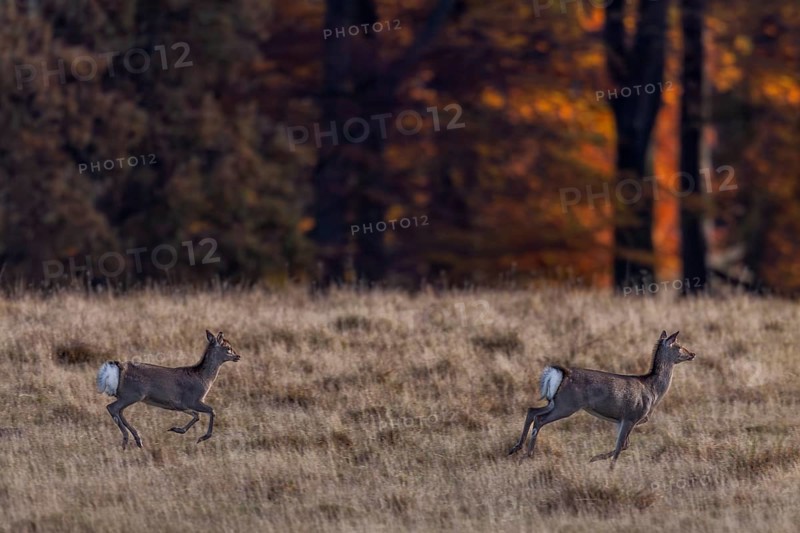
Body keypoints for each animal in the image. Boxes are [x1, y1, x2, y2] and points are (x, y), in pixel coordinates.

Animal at [96, 330, 241, 449]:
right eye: (227, 348)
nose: (238, 356)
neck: (203, 378)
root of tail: (119, 367)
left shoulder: (181, 405)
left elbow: (197, 416)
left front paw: (176, 429)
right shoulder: (192, 400)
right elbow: (212, 410)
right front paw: (202, 438)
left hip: (127, 396)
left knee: (120, 411)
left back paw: (138, 440)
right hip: (133, 394)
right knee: (112, 407)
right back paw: (126, 440)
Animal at [507, 330, 695, 468]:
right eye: (679, 346)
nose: (692, 353)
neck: (653, 391)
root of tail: (562, 374)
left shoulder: (621, 420)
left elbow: (624, 445)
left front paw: (594, 459)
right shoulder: (631, 416)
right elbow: (620, 447)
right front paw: (609, 468)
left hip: (555, 402)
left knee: (532, 410)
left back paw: (516, 448)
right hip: (567, 405)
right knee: (539, 419)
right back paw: (527, 455)